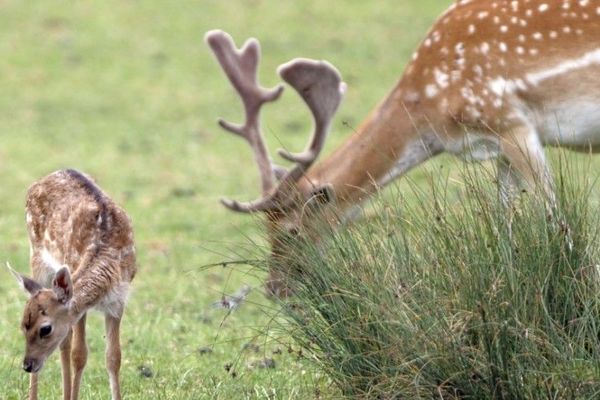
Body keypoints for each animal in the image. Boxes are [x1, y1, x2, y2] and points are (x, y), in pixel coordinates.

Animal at [9, 168, 136, 400]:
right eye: (22, 326)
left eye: (45, 329)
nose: (27, 365)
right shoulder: (79, 308)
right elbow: (79, 354)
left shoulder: (118, 301)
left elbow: (114, 357)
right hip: (37, 259)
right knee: (66, 346)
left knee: (65, 342)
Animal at [207, 0, 600, 294]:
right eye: (265, 228)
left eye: (291, 230)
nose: (275, 288)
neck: (429, 105)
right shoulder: (497, 146)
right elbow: (506, 227)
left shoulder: (511, 121)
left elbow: (555, 220)